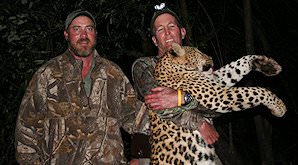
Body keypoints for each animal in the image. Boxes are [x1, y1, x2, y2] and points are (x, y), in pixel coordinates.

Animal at [148, 42, 286, 165]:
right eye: (198, 52)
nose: (211, 58)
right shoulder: (217, 95)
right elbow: (255, 91)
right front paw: (279, 107)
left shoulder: (216, 80)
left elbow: (236, 66)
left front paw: (265, 64)